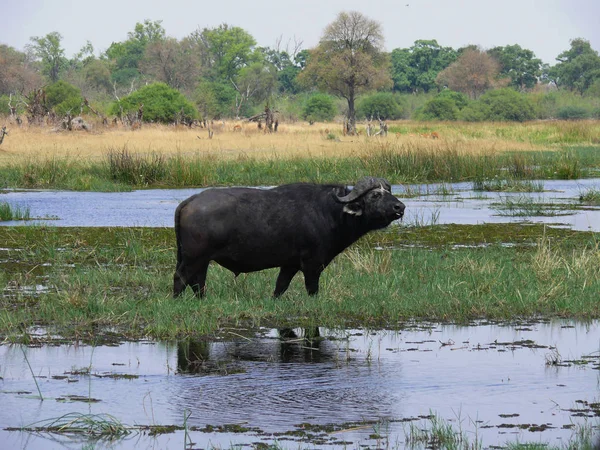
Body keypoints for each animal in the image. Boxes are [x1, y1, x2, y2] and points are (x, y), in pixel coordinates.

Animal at [176, 177, 406, 298]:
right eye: (375, 195)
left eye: (388, 191)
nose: (400, 207)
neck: (330, 212)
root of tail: (190, 201)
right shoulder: (312, 265)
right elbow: (312, 289)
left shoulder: (289, 265)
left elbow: (280, 287)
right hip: (194, 258)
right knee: (181, 279)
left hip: (200, 260)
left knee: (197, 283)